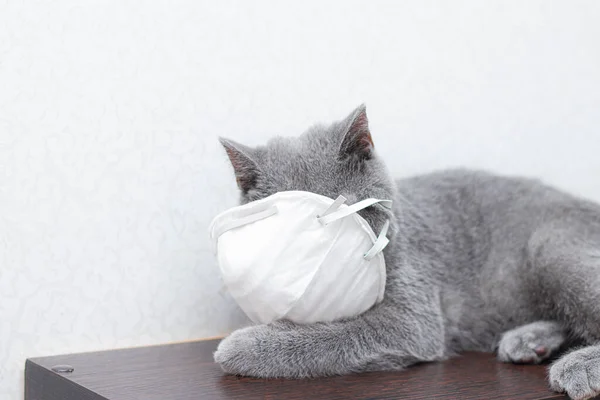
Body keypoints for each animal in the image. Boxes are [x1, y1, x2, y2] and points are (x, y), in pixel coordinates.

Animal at [213, 104, 600, 398]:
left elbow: (335, 334)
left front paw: (240, 346)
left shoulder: (412, 319)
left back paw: (578, 365)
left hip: (548, 247)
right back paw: (528, 341)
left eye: (352, 207)